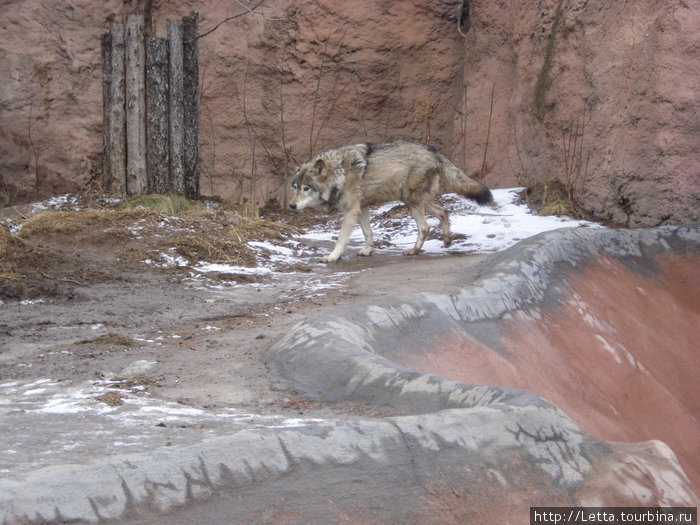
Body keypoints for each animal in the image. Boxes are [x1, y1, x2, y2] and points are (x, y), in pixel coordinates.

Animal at [288, 140, 492, 260]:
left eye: (306, 188)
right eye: (295, 187)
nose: (292, 205)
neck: (340, 173)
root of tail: (432, 149)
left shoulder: (351, 211)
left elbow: (341, 239)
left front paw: (332, 257)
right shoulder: (362, 208)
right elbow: (368, 233)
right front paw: (368, 250)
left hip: (411, 201)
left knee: (425, 227)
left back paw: (414, 251)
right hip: (415, 200)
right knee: (444, 211)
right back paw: (447, 240)